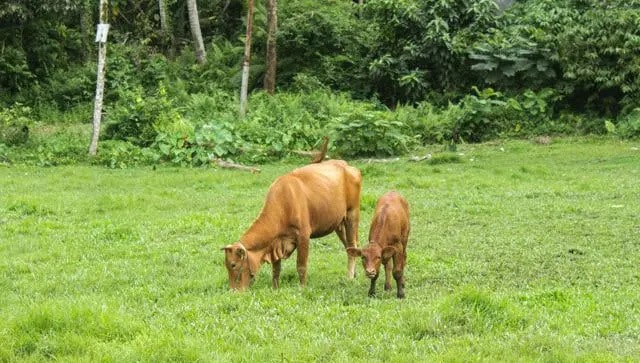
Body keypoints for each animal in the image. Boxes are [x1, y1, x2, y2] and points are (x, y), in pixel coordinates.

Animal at [220, 140, 360, 292]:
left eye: (233, 264)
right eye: (226, 265)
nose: (233, 291)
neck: (284, 204)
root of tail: (345, 164)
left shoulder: (304, 235)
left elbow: (301, 266)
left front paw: (302, 288)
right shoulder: (275, 244)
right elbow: (276, 269)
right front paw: (275, 288)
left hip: (352, 214)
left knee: (352, 244)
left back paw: (350, 277)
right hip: (338, 223)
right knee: (349, 247)